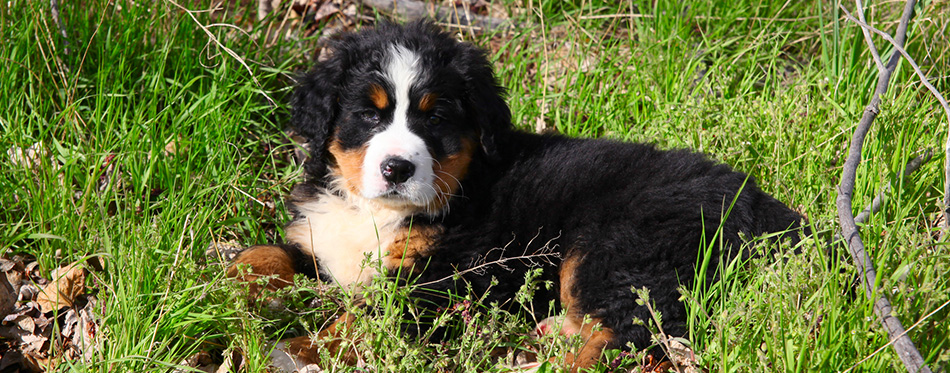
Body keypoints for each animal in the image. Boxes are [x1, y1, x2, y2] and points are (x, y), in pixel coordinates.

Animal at [229, 21, 804, 370]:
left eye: (435, 118)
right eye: (368, 115)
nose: (396, 168)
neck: (376, 210)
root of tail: (763, 205)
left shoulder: (445, 278)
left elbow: (370, 316)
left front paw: (296, 350)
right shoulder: (321, 241)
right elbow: (267, 253)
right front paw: (228, 286)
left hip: (619, 246)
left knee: (631, 334)